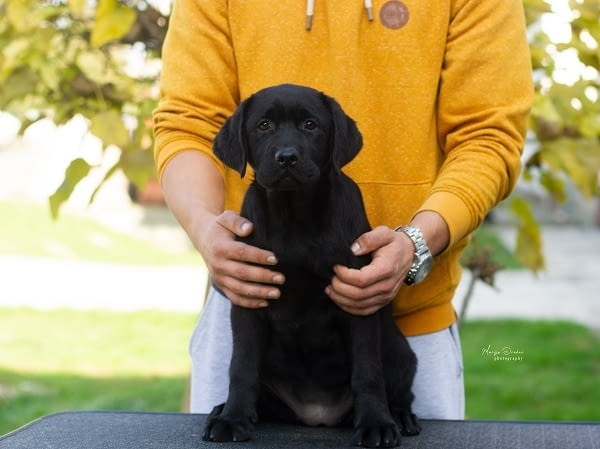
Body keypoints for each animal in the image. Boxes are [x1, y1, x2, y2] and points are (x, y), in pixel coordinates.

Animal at [204, 85, 420, 448]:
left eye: (310, 125)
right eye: (263, 125)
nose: (287, 158)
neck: (295, 215)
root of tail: (317, 415)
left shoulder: (358, 297)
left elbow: (367, 372)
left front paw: (376, 424)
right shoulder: (250, 296)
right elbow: (241, 366)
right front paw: (232, 419)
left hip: (400, 353)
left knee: (399, 390)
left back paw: (401, 417)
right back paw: (225, 410)